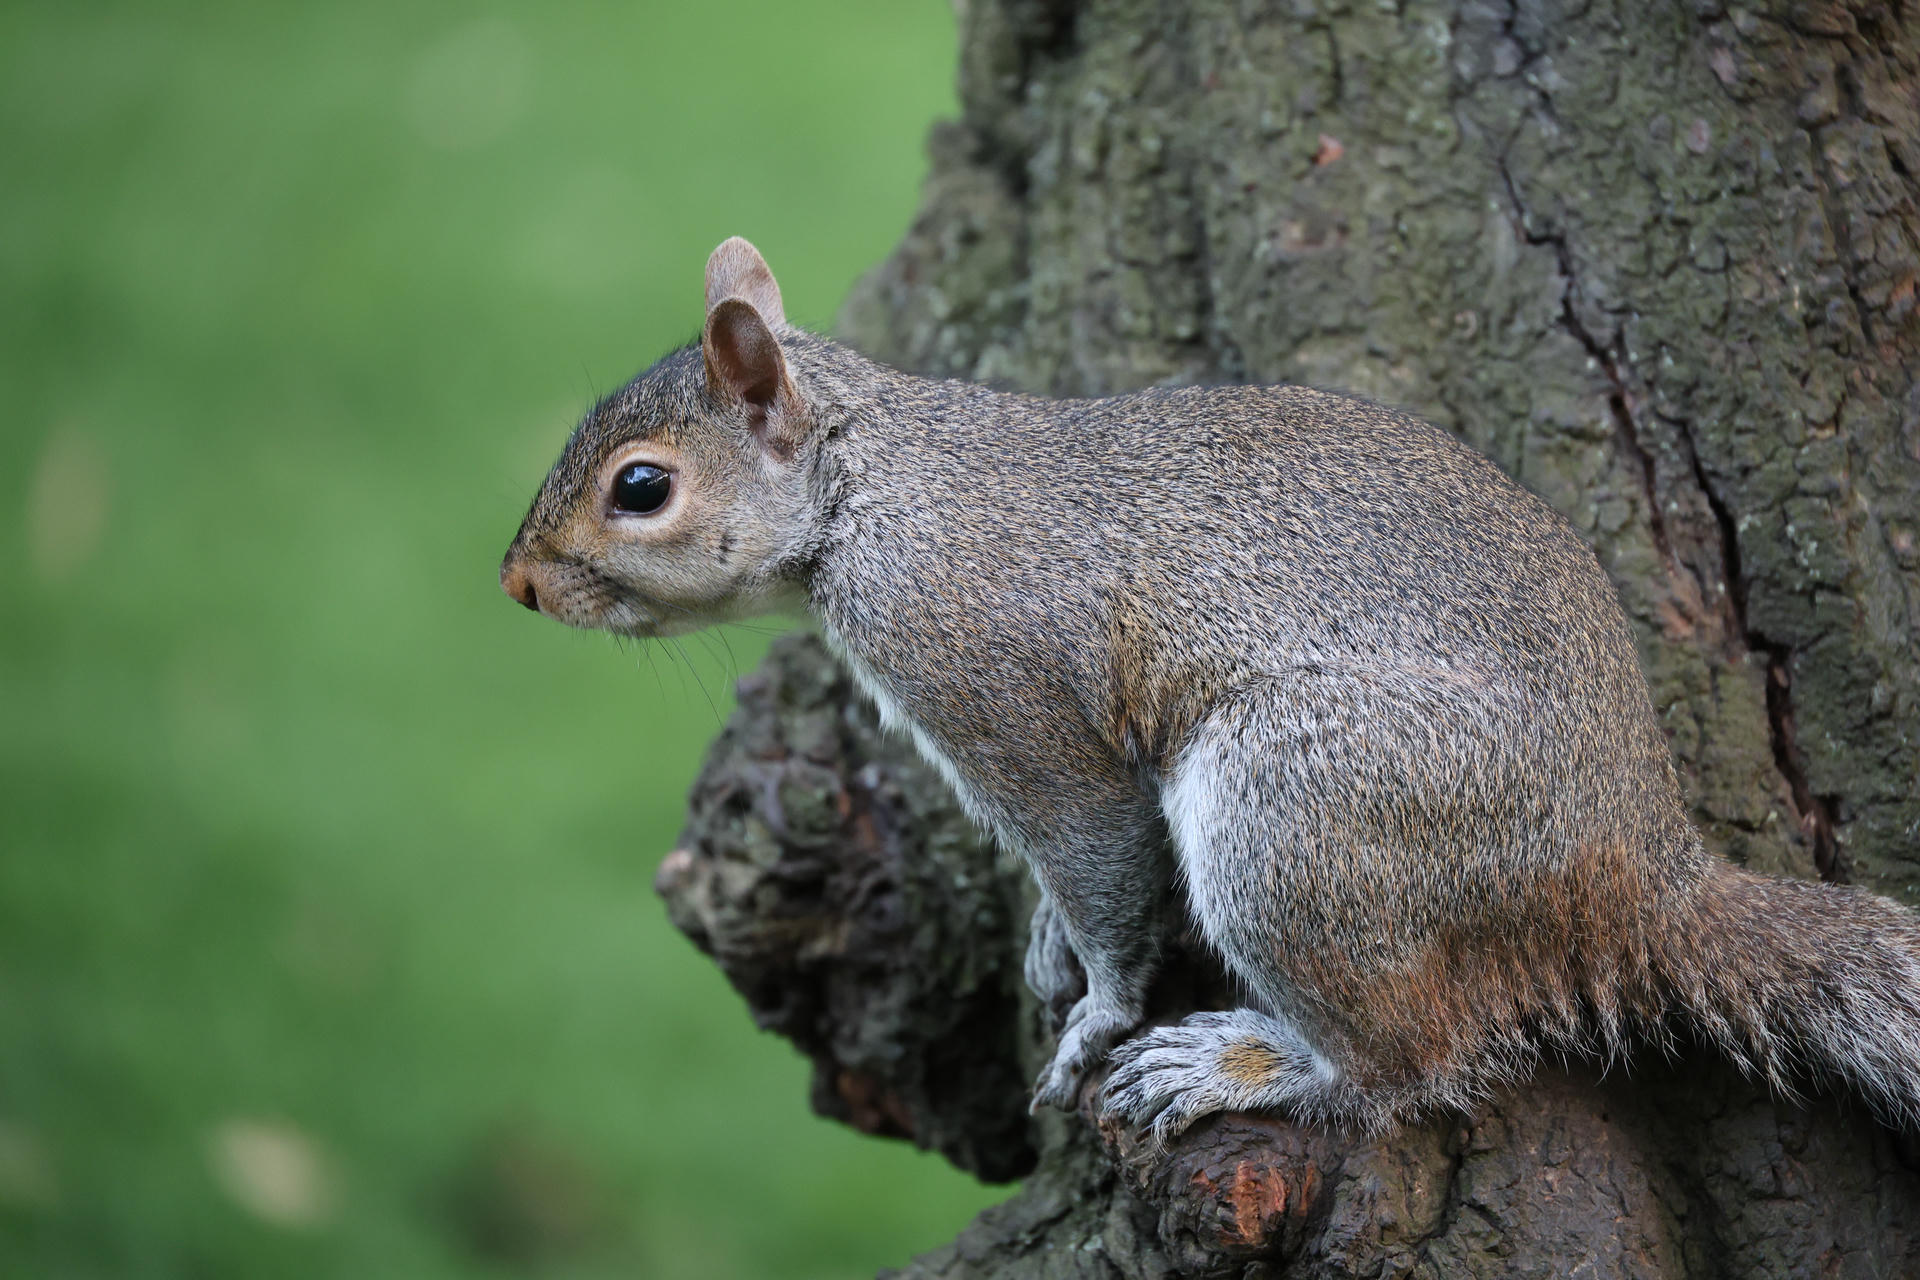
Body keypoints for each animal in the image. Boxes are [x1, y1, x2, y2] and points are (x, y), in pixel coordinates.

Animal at [502, 236, 1920, 1139]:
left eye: (642, 487)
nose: (516, 583)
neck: (875, 484)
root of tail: (1637, 863)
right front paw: (1046, 939)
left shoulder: (1005, 696)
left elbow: (1101, 858)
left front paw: (1099, 1011)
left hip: (1303, 807)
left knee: (1413, 1063)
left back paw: (1240, 1061)